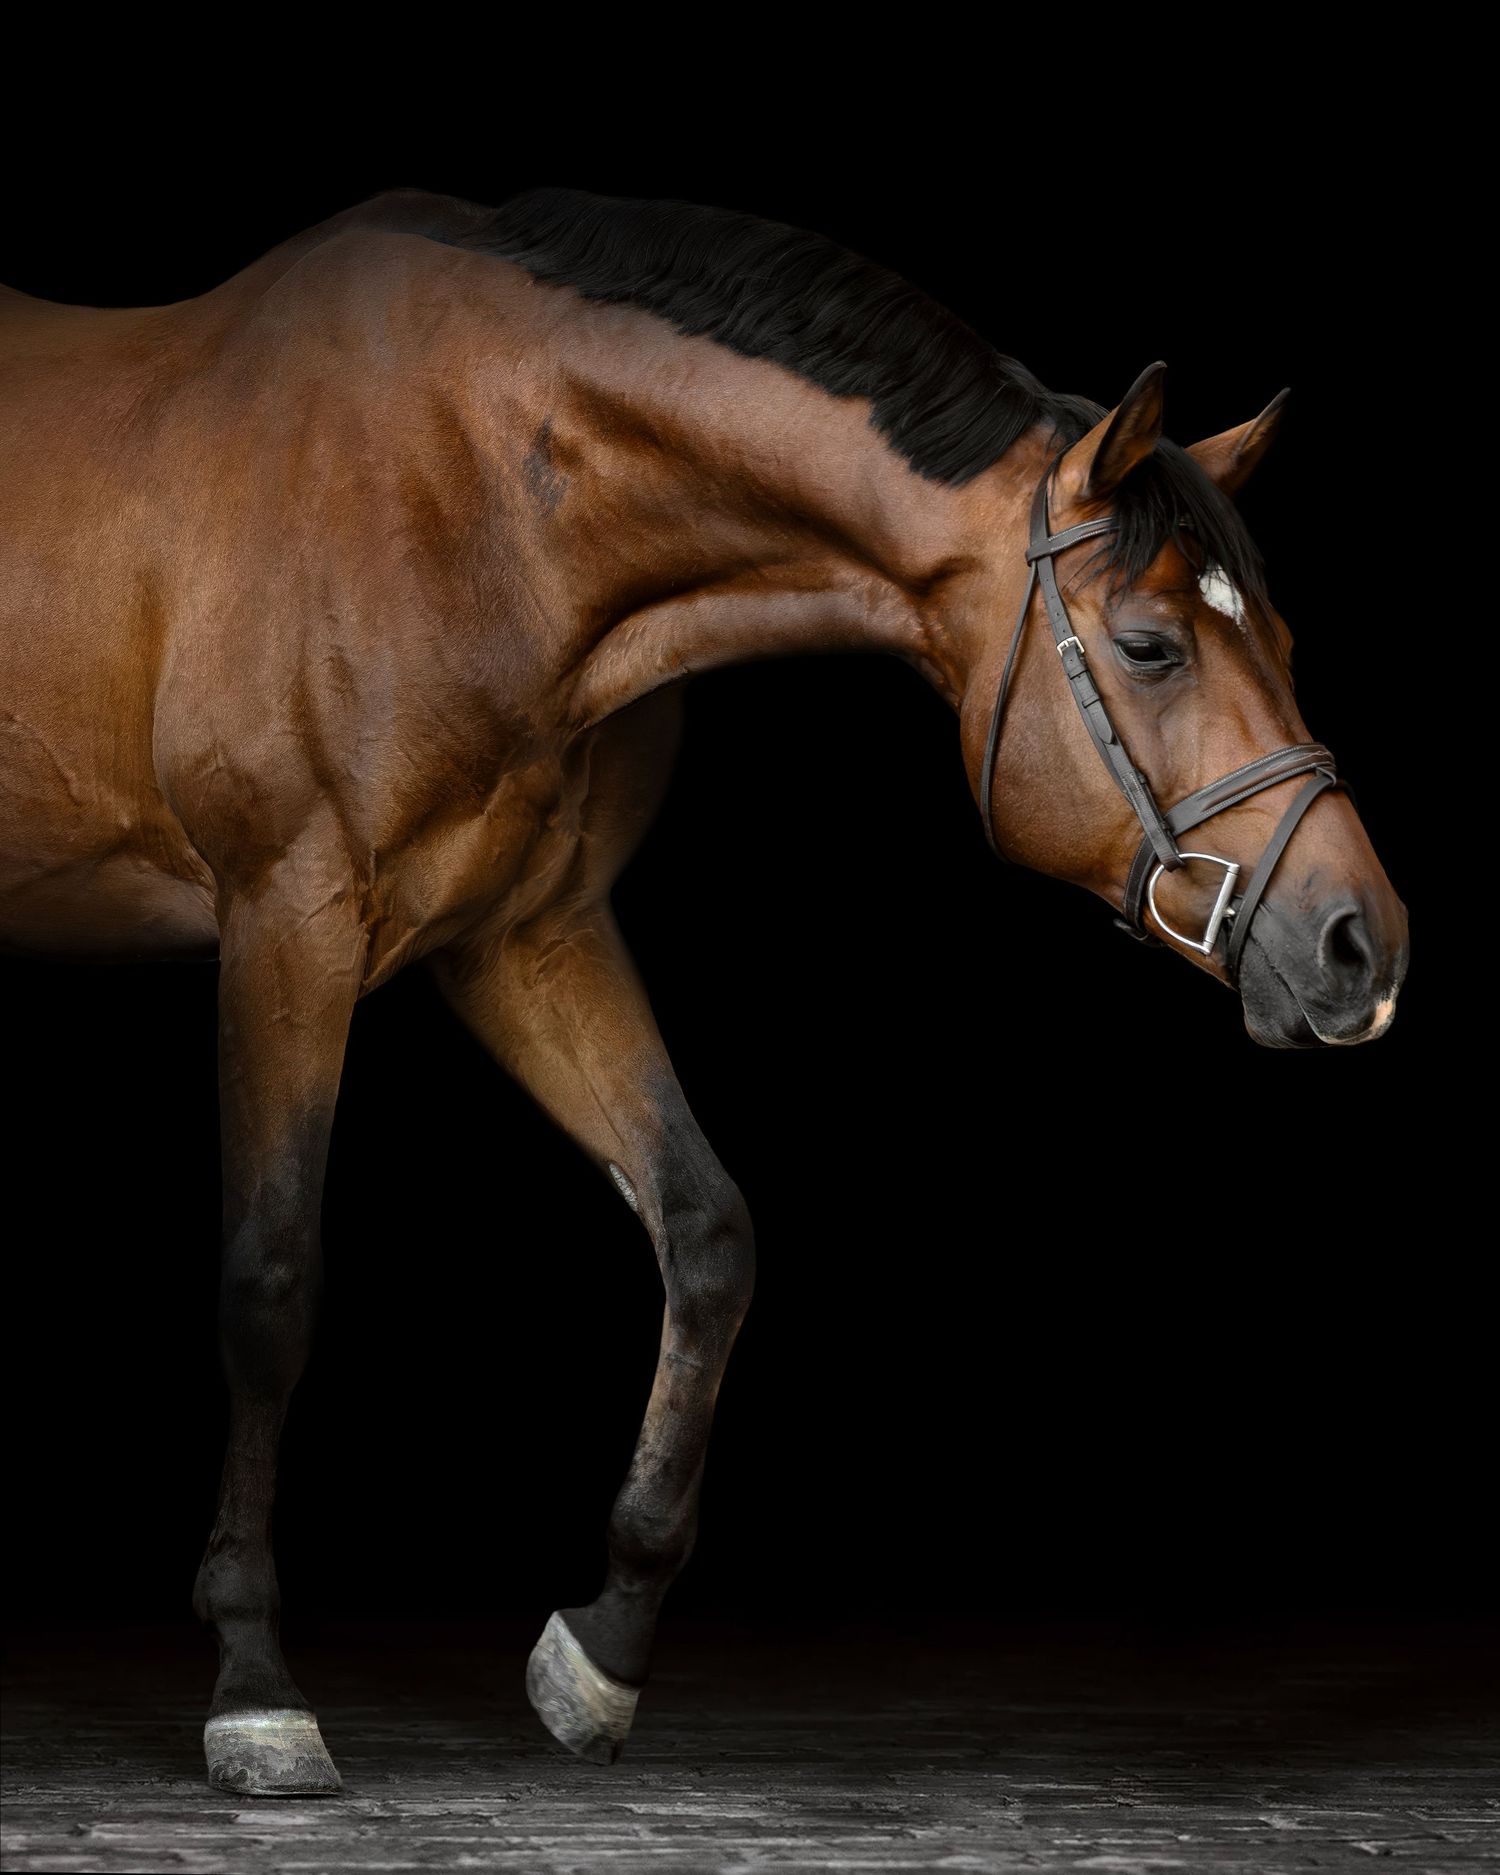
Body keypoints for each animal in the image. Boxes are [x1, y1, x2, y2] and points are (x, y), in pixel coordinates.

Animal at [0, 187, 1408, 1794]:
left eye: (1283, 641)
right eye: (1151, 644)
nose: (1361, 944)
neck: (479, 504)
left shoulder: (527, 935)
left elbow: (706, 1231)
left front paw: (599, 1648)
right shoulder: (286, 919)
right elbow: (271, 1282)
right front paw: (253, 1681)